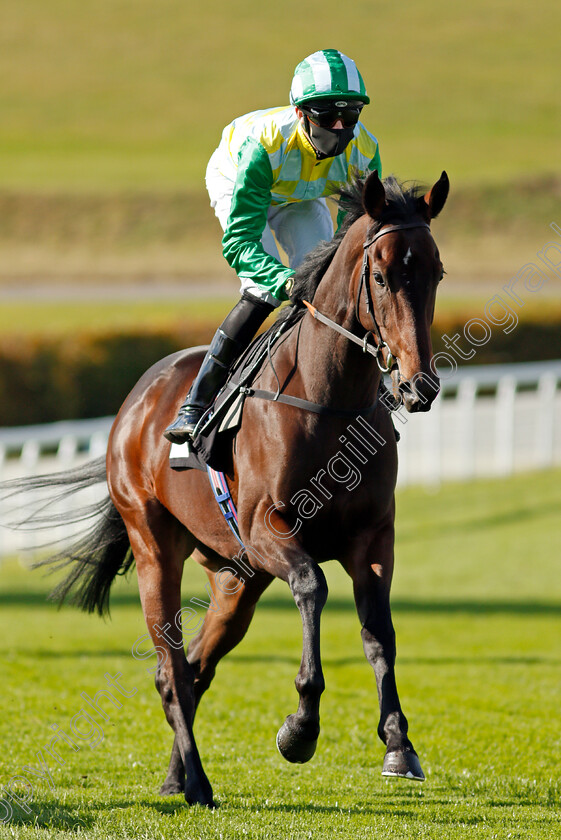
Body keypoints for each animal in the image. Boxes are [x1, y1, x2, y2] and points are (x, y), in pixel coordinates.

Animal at [14, 171, 450, 808]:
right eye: (381, 276)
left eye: (436, 272)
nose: (420, 386)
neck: (329, 401)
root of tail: (136, 401)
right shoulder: (269, 527)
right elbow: (313, 587)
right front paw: (300, 729)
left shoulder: (373, 536)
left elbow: (379, 631)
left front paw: (399, 743)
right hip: (156, 549)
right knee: (172, 669)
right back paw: (196, 781)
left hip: (234, 579)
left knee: (196, 666)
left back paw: (176, 776)